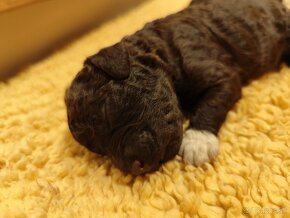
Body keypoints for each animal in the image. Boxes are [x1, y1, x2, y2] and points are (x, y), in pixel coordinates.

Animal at [65, 0, 290, 175]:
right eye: (97, 149)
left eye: (107, 110)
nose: (135, 168)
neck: (160, 49)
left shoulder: (221, 76)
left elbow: (210, 105)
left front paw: (198, 141)